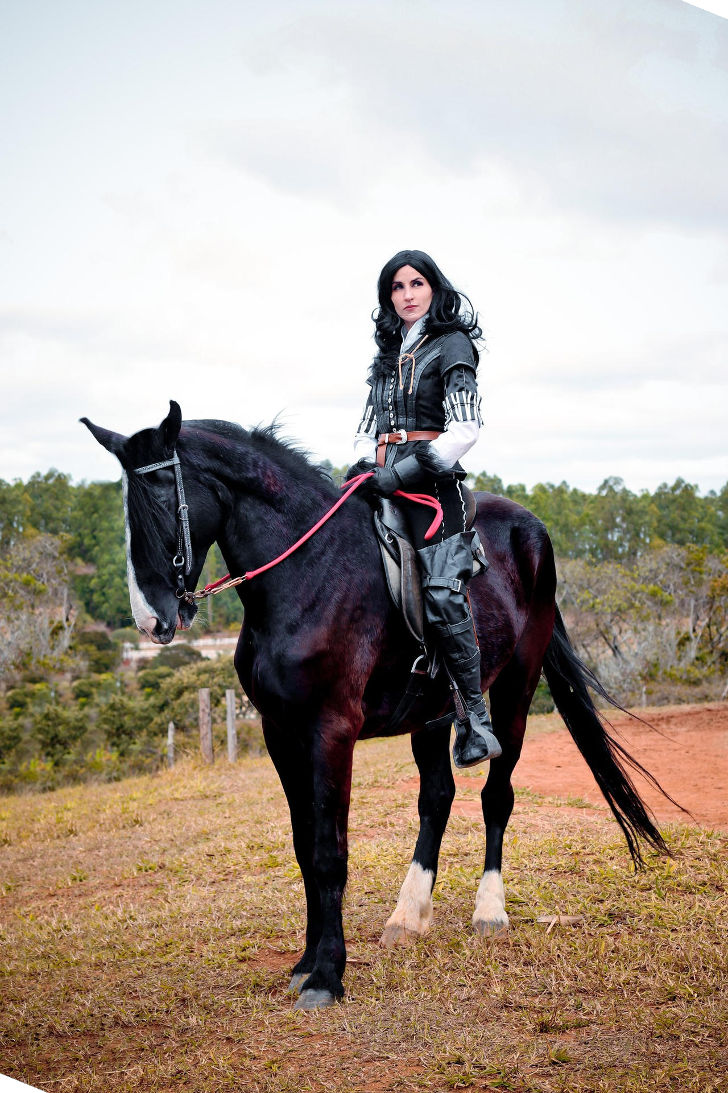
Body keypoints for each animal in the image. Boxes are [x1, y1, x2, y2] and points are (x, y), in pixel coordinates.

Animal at [81, 406, 664, 1009]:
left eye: (158, 501)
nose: (151, 620)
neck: (307, 574)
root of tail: (533, 530)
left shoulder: (332, 731)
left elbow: (329, 851)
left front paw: (326, 975)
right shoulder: (279, 732)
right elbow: (304, 845)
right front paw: (306, 962)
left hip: (515, 692)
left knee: (495, 796)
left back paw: (490, 911)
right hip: (433, 712)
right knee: (437, 799)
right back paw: (409, 916)